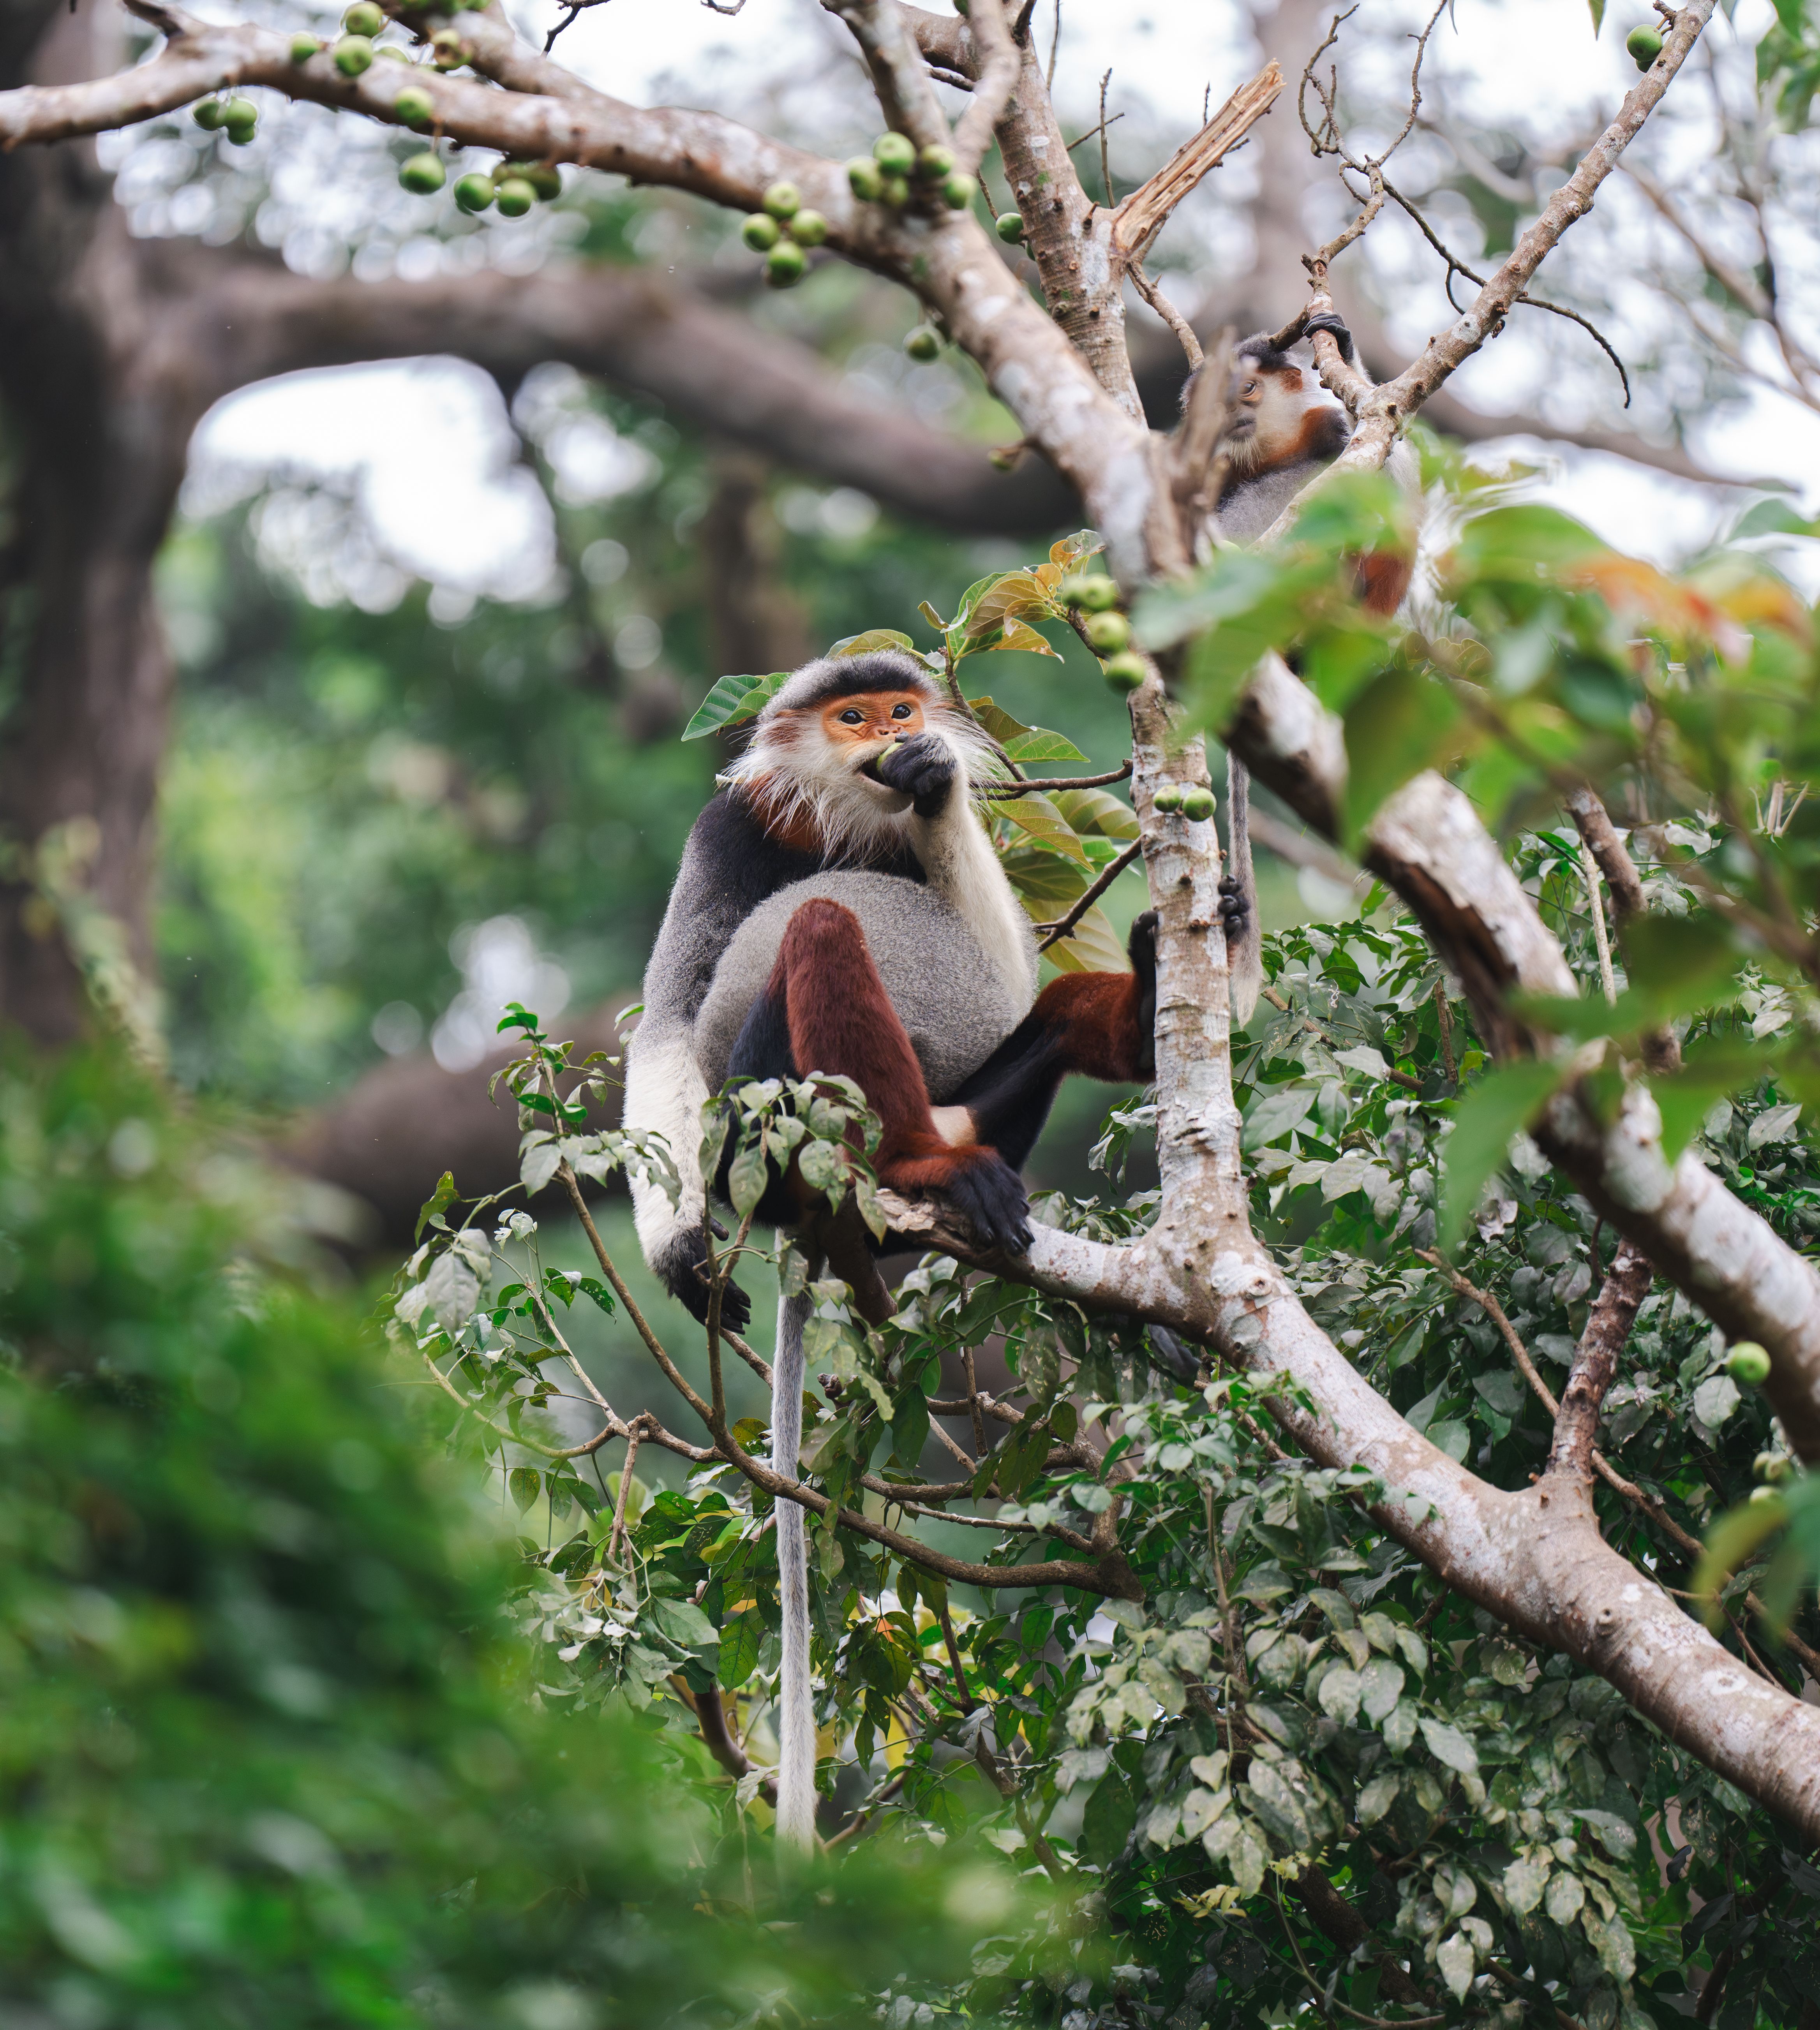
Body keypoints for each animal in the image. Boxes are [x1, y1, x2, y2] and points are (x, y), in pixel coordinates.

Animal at [622, 646, 1157, 1850]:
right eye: (853, 716)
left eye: (904, 710)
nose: (898, 736)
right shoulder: (728, 827)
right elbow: (668, 1023)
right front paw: (681, 1255)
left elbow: (1005, 963)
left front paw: (937, 784)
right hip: (766, 1132)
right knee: (819, 924)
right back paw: (919, 1169)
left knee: (1049, 1005)